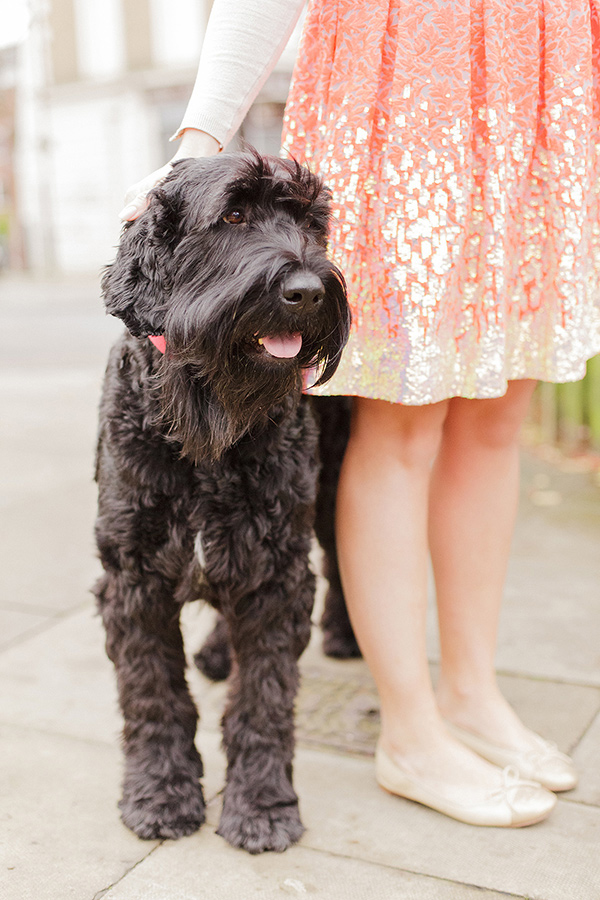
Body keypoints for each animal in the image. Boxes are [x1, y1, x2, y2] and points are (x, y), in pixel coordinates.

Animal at [94, 153, 352, 852]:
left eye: (310, 222)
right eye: (233, 215)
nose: (309, 291)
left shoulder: (276, 572)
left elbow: (263, 698)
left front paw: (262, 806)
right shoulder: (133, 574)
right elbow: (153, 694)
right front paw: (159, 792)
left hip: (328, 491)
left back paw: (343, 635)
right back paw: (213, 652)